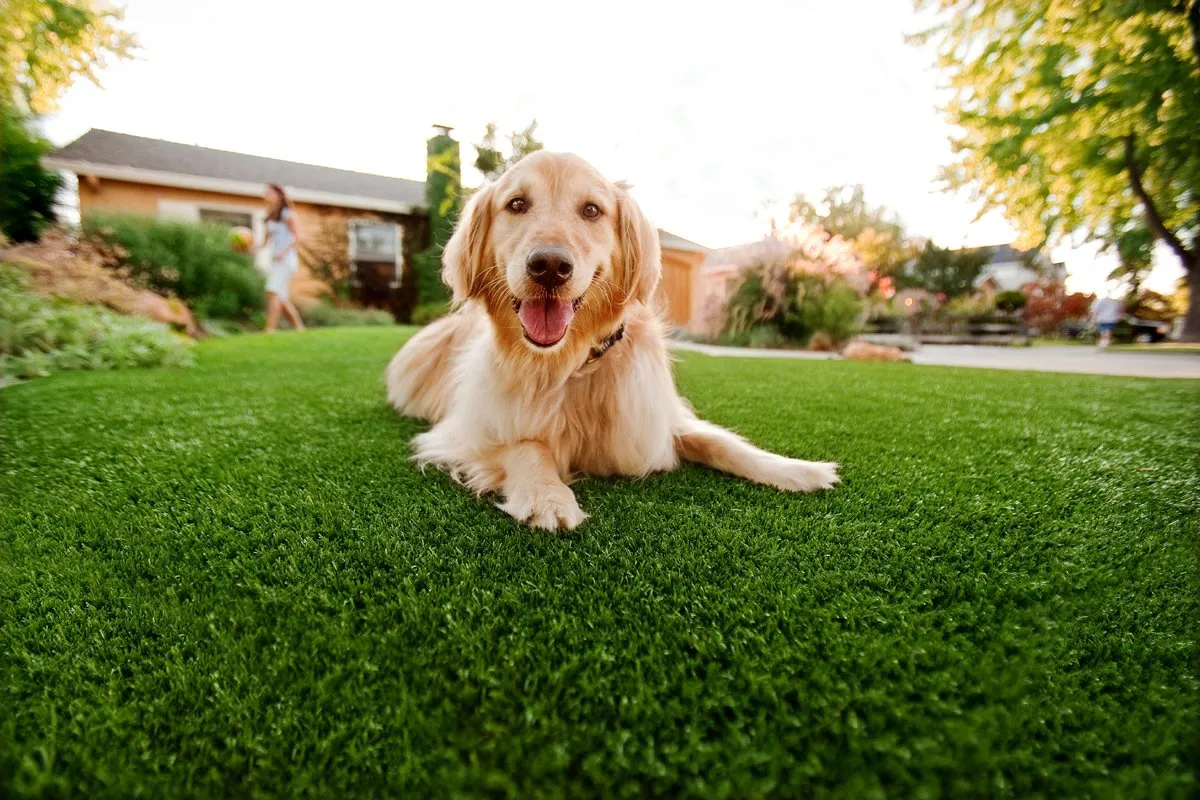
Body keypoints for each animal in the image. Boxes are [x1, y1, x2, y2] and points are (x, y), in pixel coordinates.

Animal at [384, 151, 835, 532]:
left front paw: (796, 469)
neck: (572, 363)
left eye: (591, 210)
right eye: (516, 204)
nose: (550, 266)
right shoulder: (467, 431)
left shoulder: (654, 418)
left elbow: (720, 441)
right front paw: (548, 497)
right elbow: (528, 445)